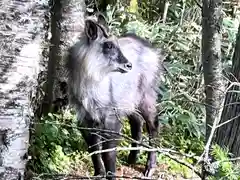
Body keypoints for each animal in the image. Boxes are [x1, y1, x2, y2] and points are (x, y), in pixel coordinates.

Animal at [64, 14, 166, 179]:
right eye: (109, 45)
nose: (129, 65)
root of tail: (151, 48)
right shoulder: (86, 118)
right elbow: (94, 149)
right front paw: (98, 173)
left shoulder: (111, 118)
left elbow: (108, 154)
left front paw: (110, 175)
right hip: (129, 100)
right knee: (137, 122)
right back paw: (132, 158)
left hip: (145, 96)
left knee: (153, 125)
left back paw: (149, 168)